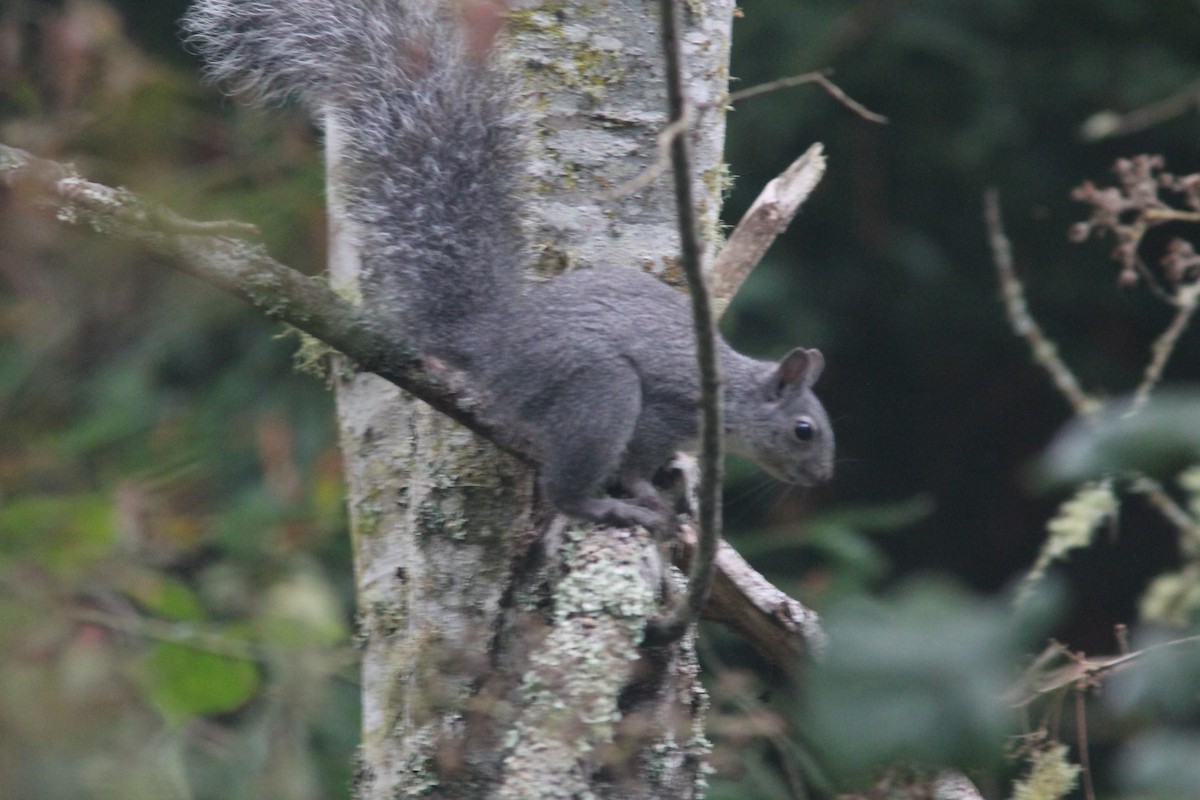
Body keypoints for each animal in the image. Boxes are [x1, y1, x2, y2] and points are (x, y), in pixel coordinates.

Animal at [182, 0, 835, 530]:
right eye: (804, 430)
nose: (822, 479)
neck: (734, 398)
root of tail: (492, 339)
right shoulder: (669, 408)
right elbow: (638, 458)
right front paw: (647, 491)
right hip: (596, 389)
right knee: (566, 484)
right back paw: (605, 506)